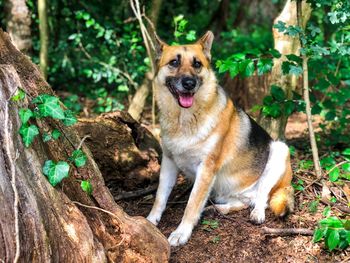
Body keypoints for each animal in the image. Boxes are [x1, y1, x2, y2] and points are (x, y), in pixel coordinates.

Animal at [146, 31, 294, 248]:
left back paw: (257, 213)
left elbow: (191, 204)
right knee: (242, 201)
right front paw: (150, 220)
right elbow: (160, 196)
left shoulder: (206, 168)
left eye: (197, 64)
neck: (185, 120)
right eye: (174, 62)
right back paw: (220, 209)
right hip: (225, 192)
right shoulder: (169, 162)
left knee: (263, 198)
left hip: (279, 150)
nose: (189, 83)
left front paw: (181, 233)